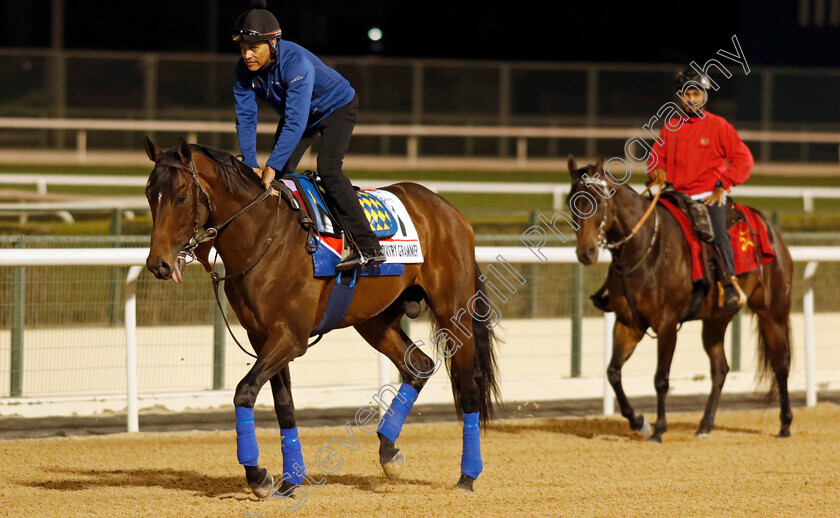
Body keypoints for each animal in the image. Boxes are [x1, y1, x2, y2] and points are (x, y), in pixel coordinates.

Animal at [144, 138, 498, 500]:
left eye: (181, 196)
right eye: (148, 193)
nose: (158, 264)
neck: (263, 237)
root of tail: (449, 211)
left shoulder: (290, 337)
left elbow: (244, 391)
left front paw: (258, 476)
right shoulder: (262, 336)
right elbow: (283, 404)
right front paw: (290, 480)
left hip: (453, 312)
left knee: (469, 384)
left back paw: (467, 475)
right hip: (374, 321)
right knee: (419, 365)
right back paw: (388, 450)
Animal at [564, 156, 796, 444]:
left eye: (596, 199)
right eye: (571, 200)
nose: (586, 252)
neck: (646, 248)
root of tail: (770, 230)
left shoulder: (666, 324)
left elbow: (661, 379)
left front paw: (659, 429)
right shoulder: (628, 324)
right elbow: (613, 372)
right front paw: (639, 422)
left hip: (772, 312)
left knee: (781, 363)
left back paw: (785, 424)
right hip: (716, 320)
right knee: (720, 368)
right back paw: (705, 425)